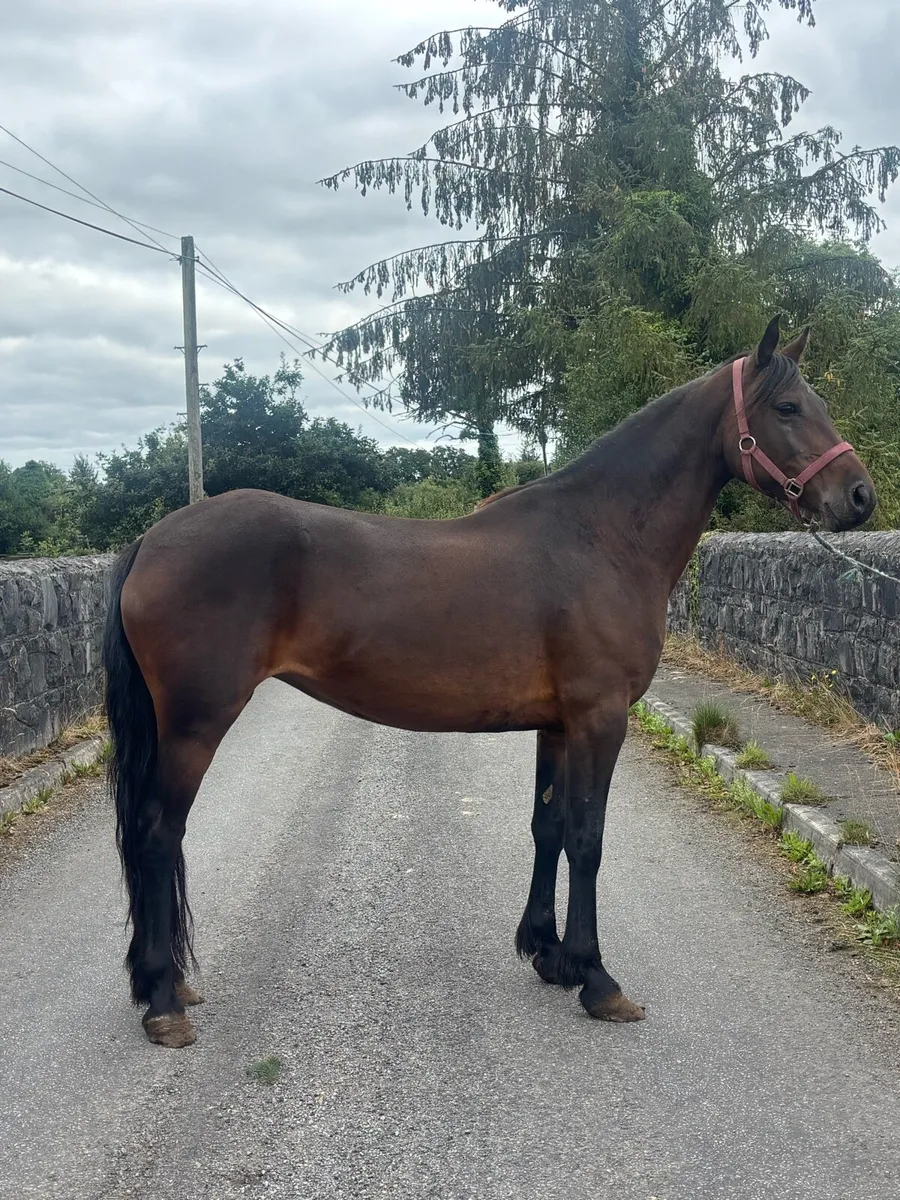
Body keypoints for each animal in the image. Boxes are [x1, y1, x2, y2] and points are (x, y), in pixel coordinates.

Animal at [103, 316, 875, 1048]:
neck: (602, 538)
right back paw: (164, 1001)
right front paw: (597, 979)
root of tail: (151, 540)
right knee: (157, 833)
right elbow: (588, 839)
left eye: (817, 402)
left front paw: (548, 954)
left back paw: (159, 982)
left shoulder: (558, 724)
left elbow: (548, 827)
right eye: (787, 407)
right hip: (196, 723)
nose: (860, 496)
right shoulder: (600, 718)